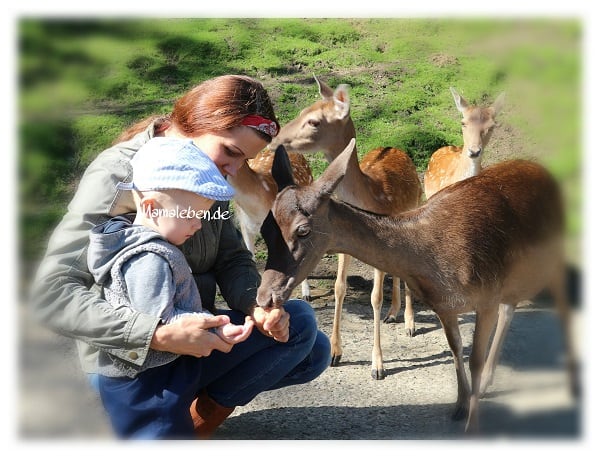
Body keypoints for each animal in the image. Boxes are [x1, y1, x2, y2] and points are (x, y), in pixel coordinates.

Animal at [258, 141, 580, 434]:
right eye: (265, 227)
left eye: (303, 230)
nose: (265, 297)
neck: (431, 261)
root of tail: (547, 173)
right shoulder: (444, 304)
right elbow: (455, 348)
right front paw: (459, 406)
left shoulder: (486, 295)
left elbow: (474, 359)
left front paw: (472, 426)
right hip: (512, 274)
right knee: (511, 308)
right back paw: (491, 381)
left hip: (553, 257)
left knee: (562, 308)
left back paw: (572, 385)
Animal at [268, 76, 422, 380]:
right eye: (303, 110)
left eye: (314, 121)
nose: (275, 139)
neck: (370, 195)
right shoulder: (341, 243)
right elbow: (340, 287)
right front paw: (335, 353)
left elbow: (375, 297)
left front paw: (378, 365)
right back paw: (394, 314)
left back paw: (409, 323)